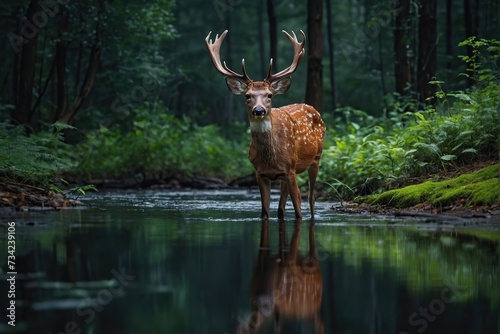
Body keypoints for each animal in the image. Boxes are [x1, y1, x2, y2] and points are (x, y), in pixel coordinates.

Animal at [205, 30, 326, 220]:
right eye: (247, 95)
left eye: (269, 95)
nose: (259, 110)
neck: (271, 159)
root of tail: (313, 109)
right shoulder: (259, 172)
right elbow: (265, 212)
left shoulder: (291, 170)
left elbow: (298, 211)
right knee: (281, 207)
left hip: (316, 158)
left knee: (311, 198)